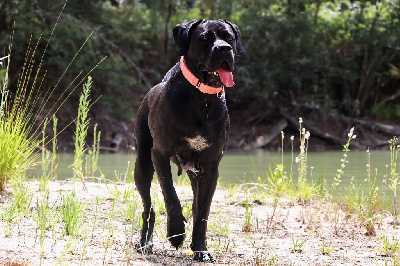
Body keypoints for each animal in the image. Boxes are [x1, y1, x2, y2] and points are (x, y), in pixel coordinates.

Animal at [134, 19, 244, 262]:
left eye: (229, 38)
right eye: (205, 37)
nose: (224, 49)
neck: (202, 98)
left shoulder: (211, 167)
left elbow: (202, 211)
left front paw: (200, 248)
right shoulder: (160, 154)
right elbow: (171, 196)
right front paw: (176, 232)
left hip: (195, 174)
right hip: (143, 164)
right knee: (148, 207)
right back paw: (145, 242)